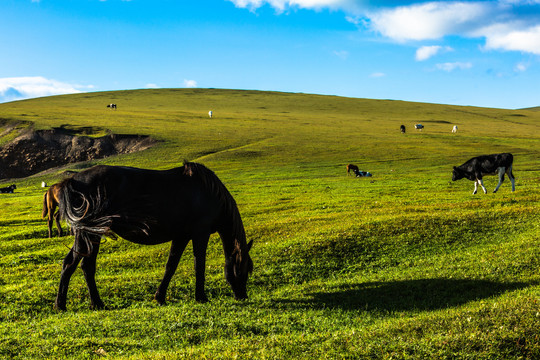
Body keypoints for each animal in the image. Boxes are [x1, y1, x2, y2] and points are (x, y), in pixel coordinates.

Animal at [54, 162, 253, 310]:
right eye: (243, 269)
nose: (242, 296)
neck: (209, 193)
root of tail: (73, 180)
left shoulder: (182, 236)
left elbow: (171, 266)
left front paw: (160, 297)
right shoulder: (200, 234)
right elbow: (199, 265)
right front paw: (201, 297)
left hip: (87, 234)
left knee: (75, 264)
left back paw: (68, 304)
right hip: (90, 233)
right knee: (81, 265)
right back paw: (89, 303)